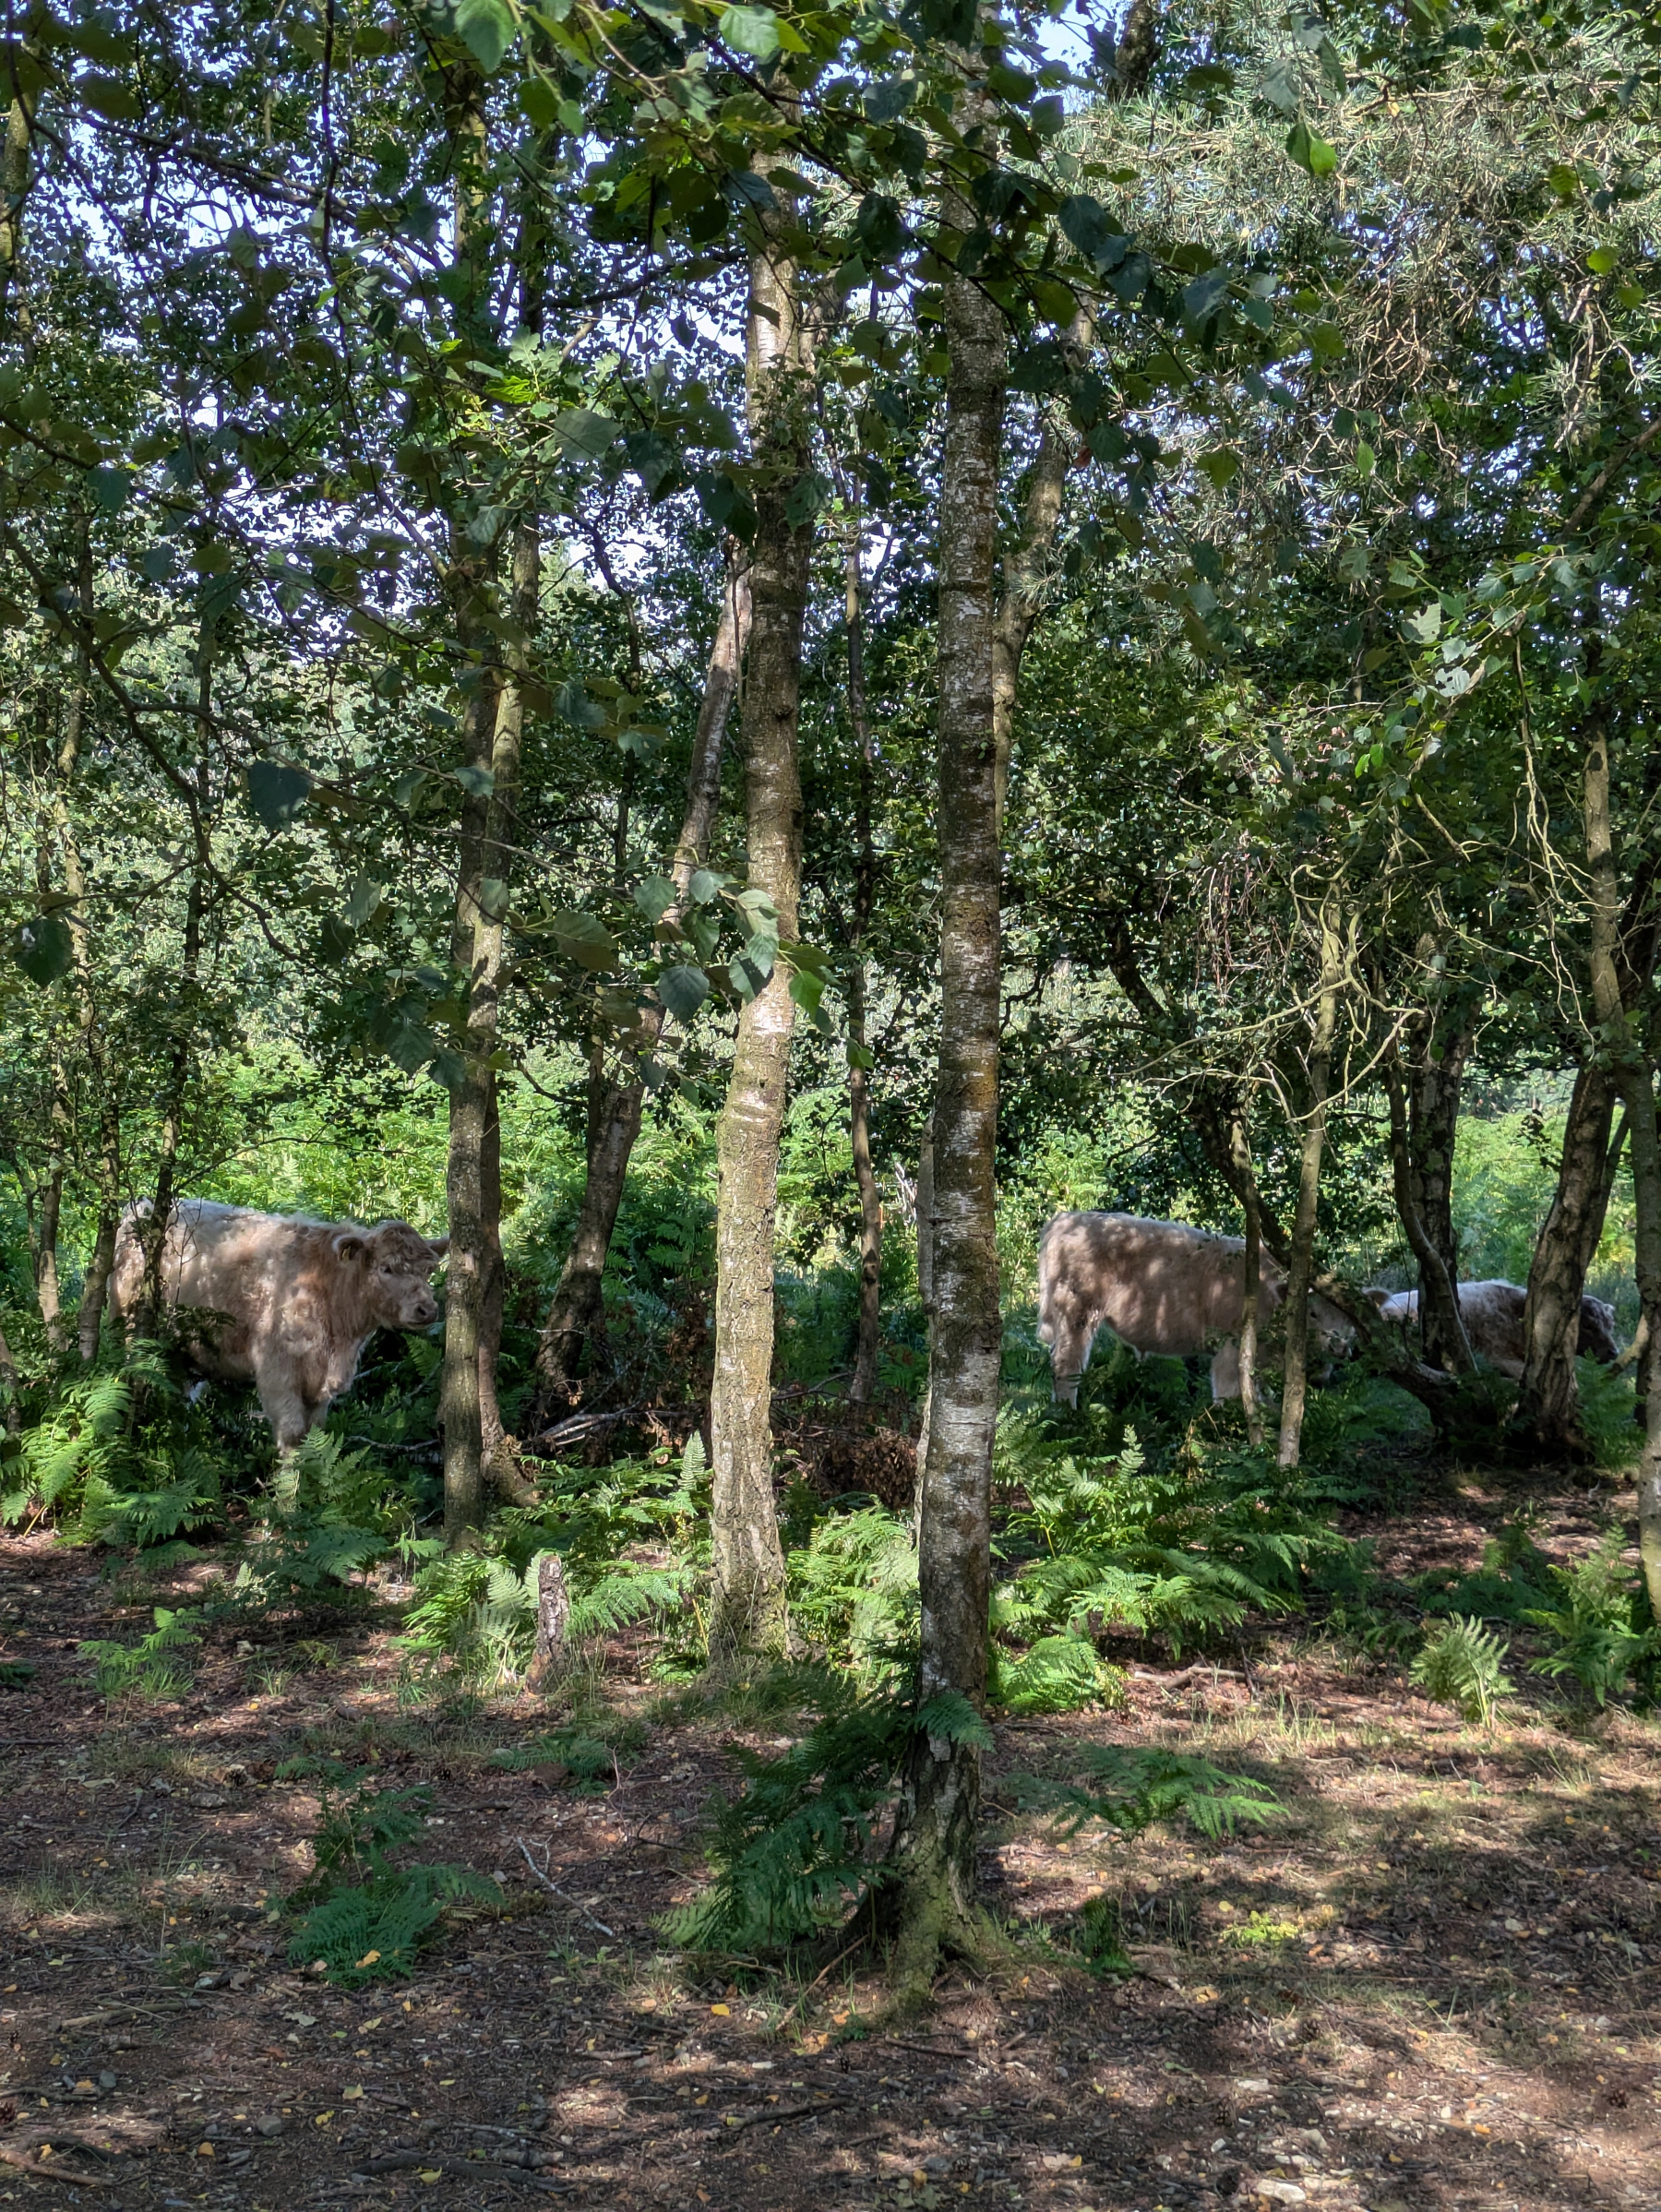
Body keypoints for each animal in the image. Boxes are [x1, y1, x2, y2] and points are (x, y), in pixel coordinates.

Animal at [109, 1199, 448, 1450]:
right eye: (386, 1268)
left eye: (429, 1270)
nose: (427, 1309)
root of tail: (142, 1204)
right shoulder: (278, 1371)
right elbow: (294, 1436)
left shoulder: (320, 1388)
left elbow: (315, 1435)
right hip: (130, 1324)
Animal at [1036, 1210, 1349, 1406]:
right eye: (1312, 1313)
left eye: (1348, 1321)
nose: (1339, 1346)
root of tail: (1067, 1218)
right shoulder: (1231, 1350)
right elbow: (1229, 1396)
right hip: (1076, 1313)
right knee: (1066, 1365)